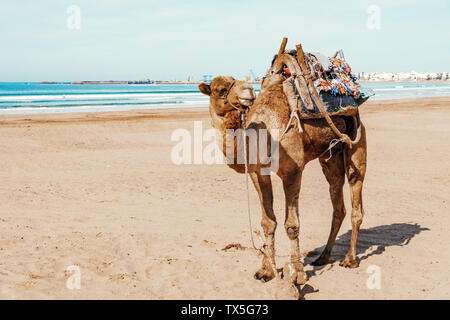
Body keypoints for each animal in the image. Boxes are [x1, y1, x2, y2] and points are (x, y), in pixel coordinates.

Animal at [199, 73, 368, 284]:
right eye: (220, 89)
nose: (248, 89)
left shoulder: (293, 170)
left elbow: (292, 225)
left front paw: (297, 274)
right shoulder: (258, 173)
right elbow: (267, 222)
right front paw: (266, 271)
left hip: (357, 139)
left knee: (355, 188)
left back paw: (350, 259)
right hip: (330, 157)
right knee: (337, 197)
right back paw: (322, 257)